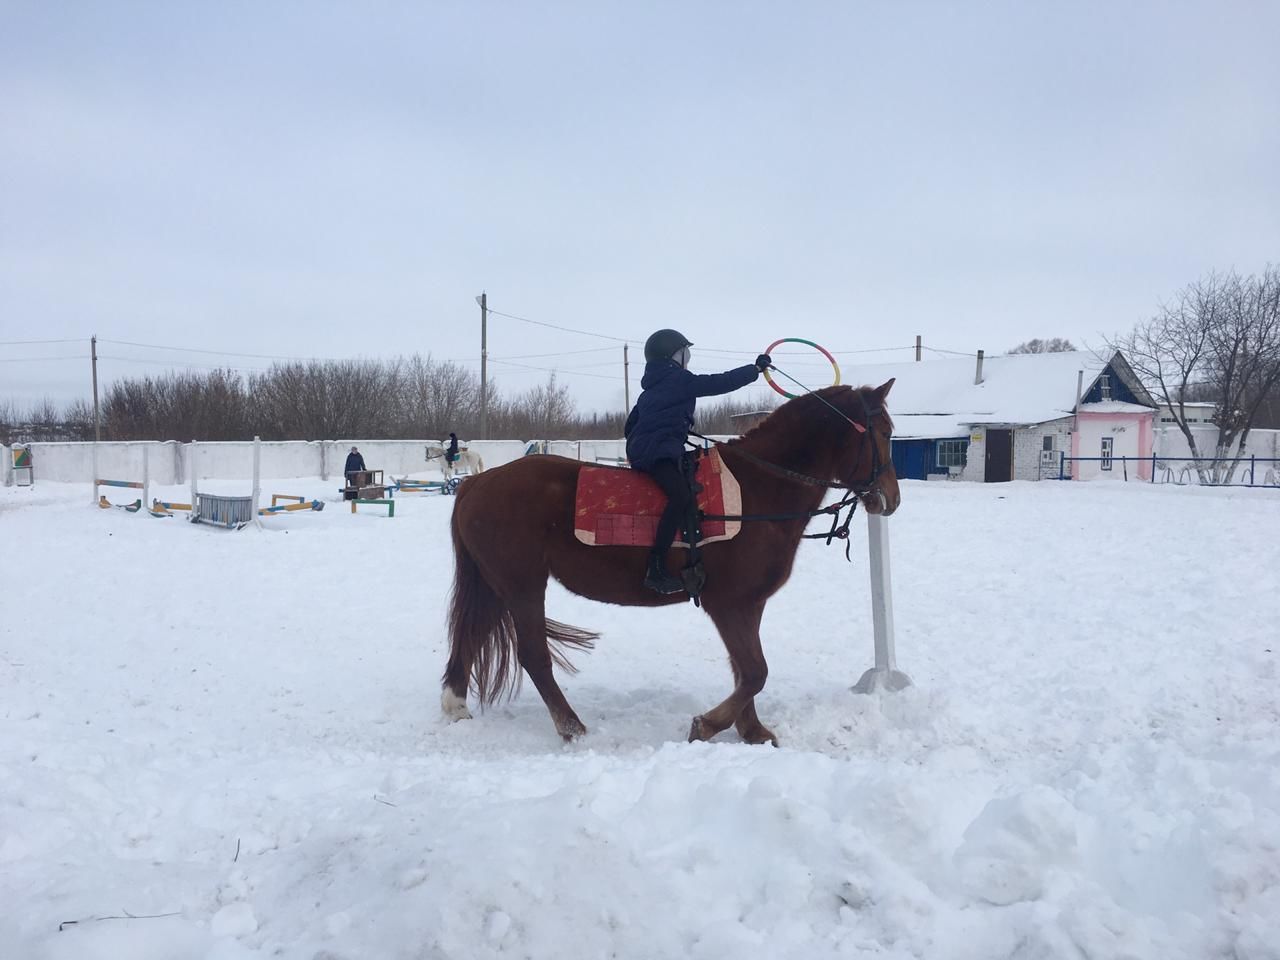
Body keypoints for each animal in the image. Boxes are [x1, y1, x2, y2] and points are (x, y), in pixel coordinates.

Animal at [440, 378, 901, 747]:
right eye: (883, 431)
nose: (891, 499)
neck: (757, 491)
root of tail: (477, 482)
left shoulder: (748, 604)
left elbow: (745, 669)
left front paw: (751, 730)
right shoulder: (729, 603)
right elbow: (755, 671)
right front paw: (708, 725)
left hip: (496, 584)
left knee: (471, 633)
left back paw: (456, 704)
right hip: (523, 586)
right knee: (533, 655)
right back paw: (572, 727)